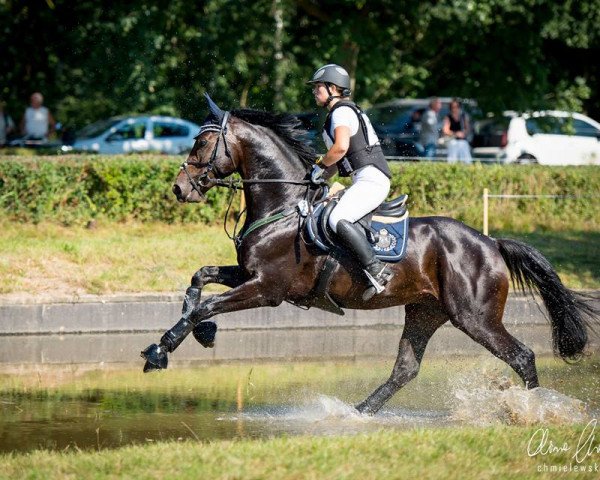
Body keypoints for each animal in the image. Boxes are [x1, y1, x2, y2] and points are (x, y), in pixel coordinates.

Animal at [143, 96, 596, 412]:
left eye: (203, 142)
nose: (179, 189)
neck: (283, 203)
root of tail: (490, 243)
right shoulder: (248, 274)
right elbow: (200, 278)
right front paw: (191, 333)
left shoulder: (267, 288)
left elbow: (209, 304)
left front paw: (164, 348)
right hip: (426, 311)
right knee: (406, 369)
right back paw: (357, 412)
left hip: (475, 317)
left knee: (520, 356)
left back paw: (534, 411)